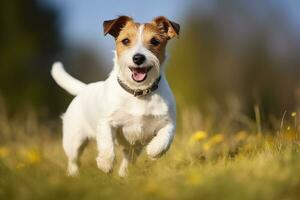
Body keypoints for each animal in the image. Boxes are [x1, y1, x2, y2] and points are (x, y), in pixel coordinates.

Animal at [50, 15, 179, 177]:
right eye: (126, 41)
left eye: (155, 41)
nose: (138, 58)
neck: (138, 93)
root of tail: (85, 88)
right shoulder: (107, 122)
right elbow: (107, 146)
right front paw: (105, 164)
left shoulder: (168, 122)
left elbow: (165, 138)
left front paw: (154, 150)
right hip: (73, 140)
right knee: (73, 160)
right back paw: (74, 175)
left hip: (133, 148)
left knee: (127, 161)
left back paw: (123, 176)